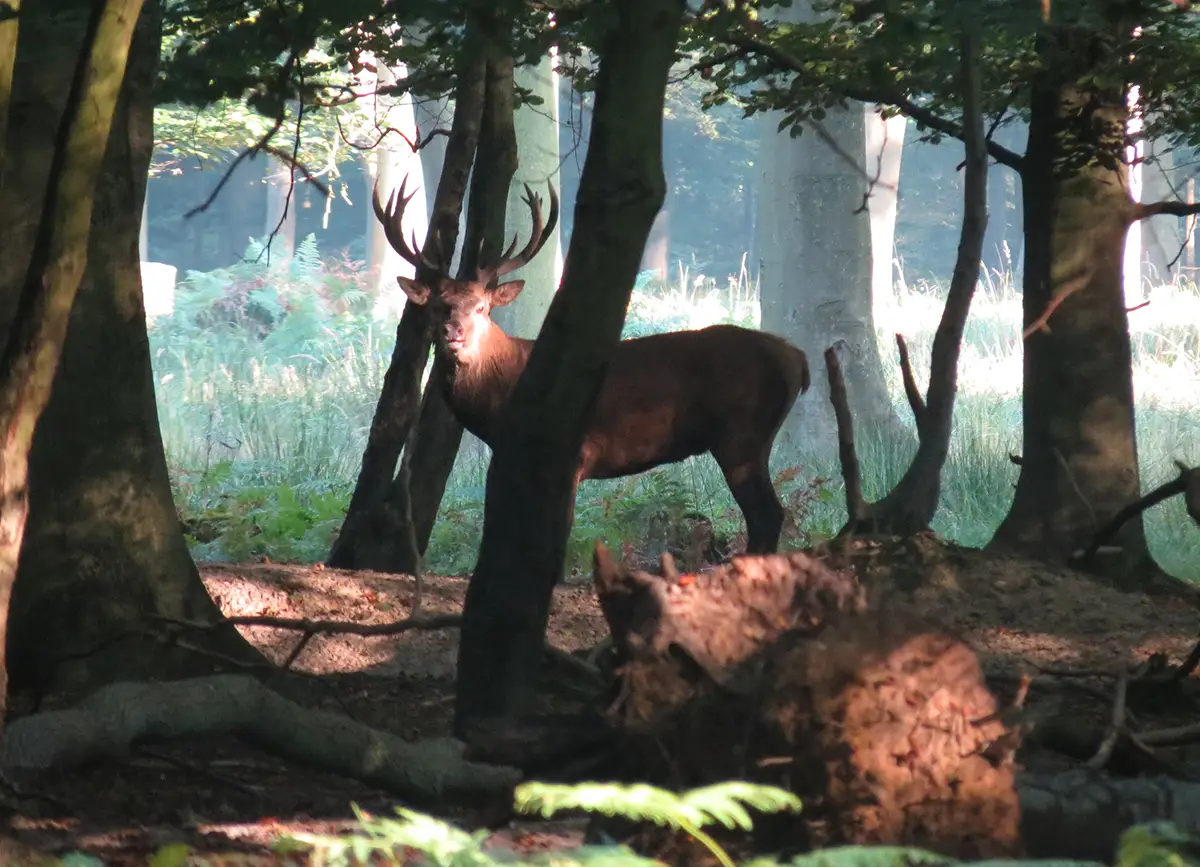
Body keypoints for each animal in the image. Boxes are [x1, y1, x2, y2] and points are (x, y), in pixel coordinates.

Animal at [373, 176, 811, 555]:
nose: (454, 332)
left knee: (766, 515)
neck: (505, 395)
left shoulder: (574, 453)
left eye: (481, 307)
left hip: (742, 433)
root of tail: (797, 359)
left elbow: (554, 533)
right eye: (437, 306)